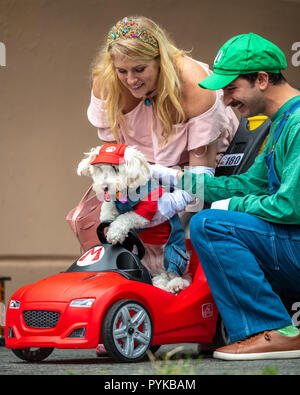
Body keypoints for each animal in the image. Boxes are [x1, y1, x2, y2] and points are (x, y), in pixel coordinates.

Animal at [76, 145, 191, 294]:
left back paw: (176, 284)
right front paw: (106, 216)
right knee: (158, 278)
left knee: (179, 274)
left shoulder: (145, 212)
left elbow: (126, 217)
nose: (104, 187)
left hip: (174, 254)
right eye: (100, 168)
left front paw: (114, 233)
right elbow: (108, 205)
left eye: (116, 168)